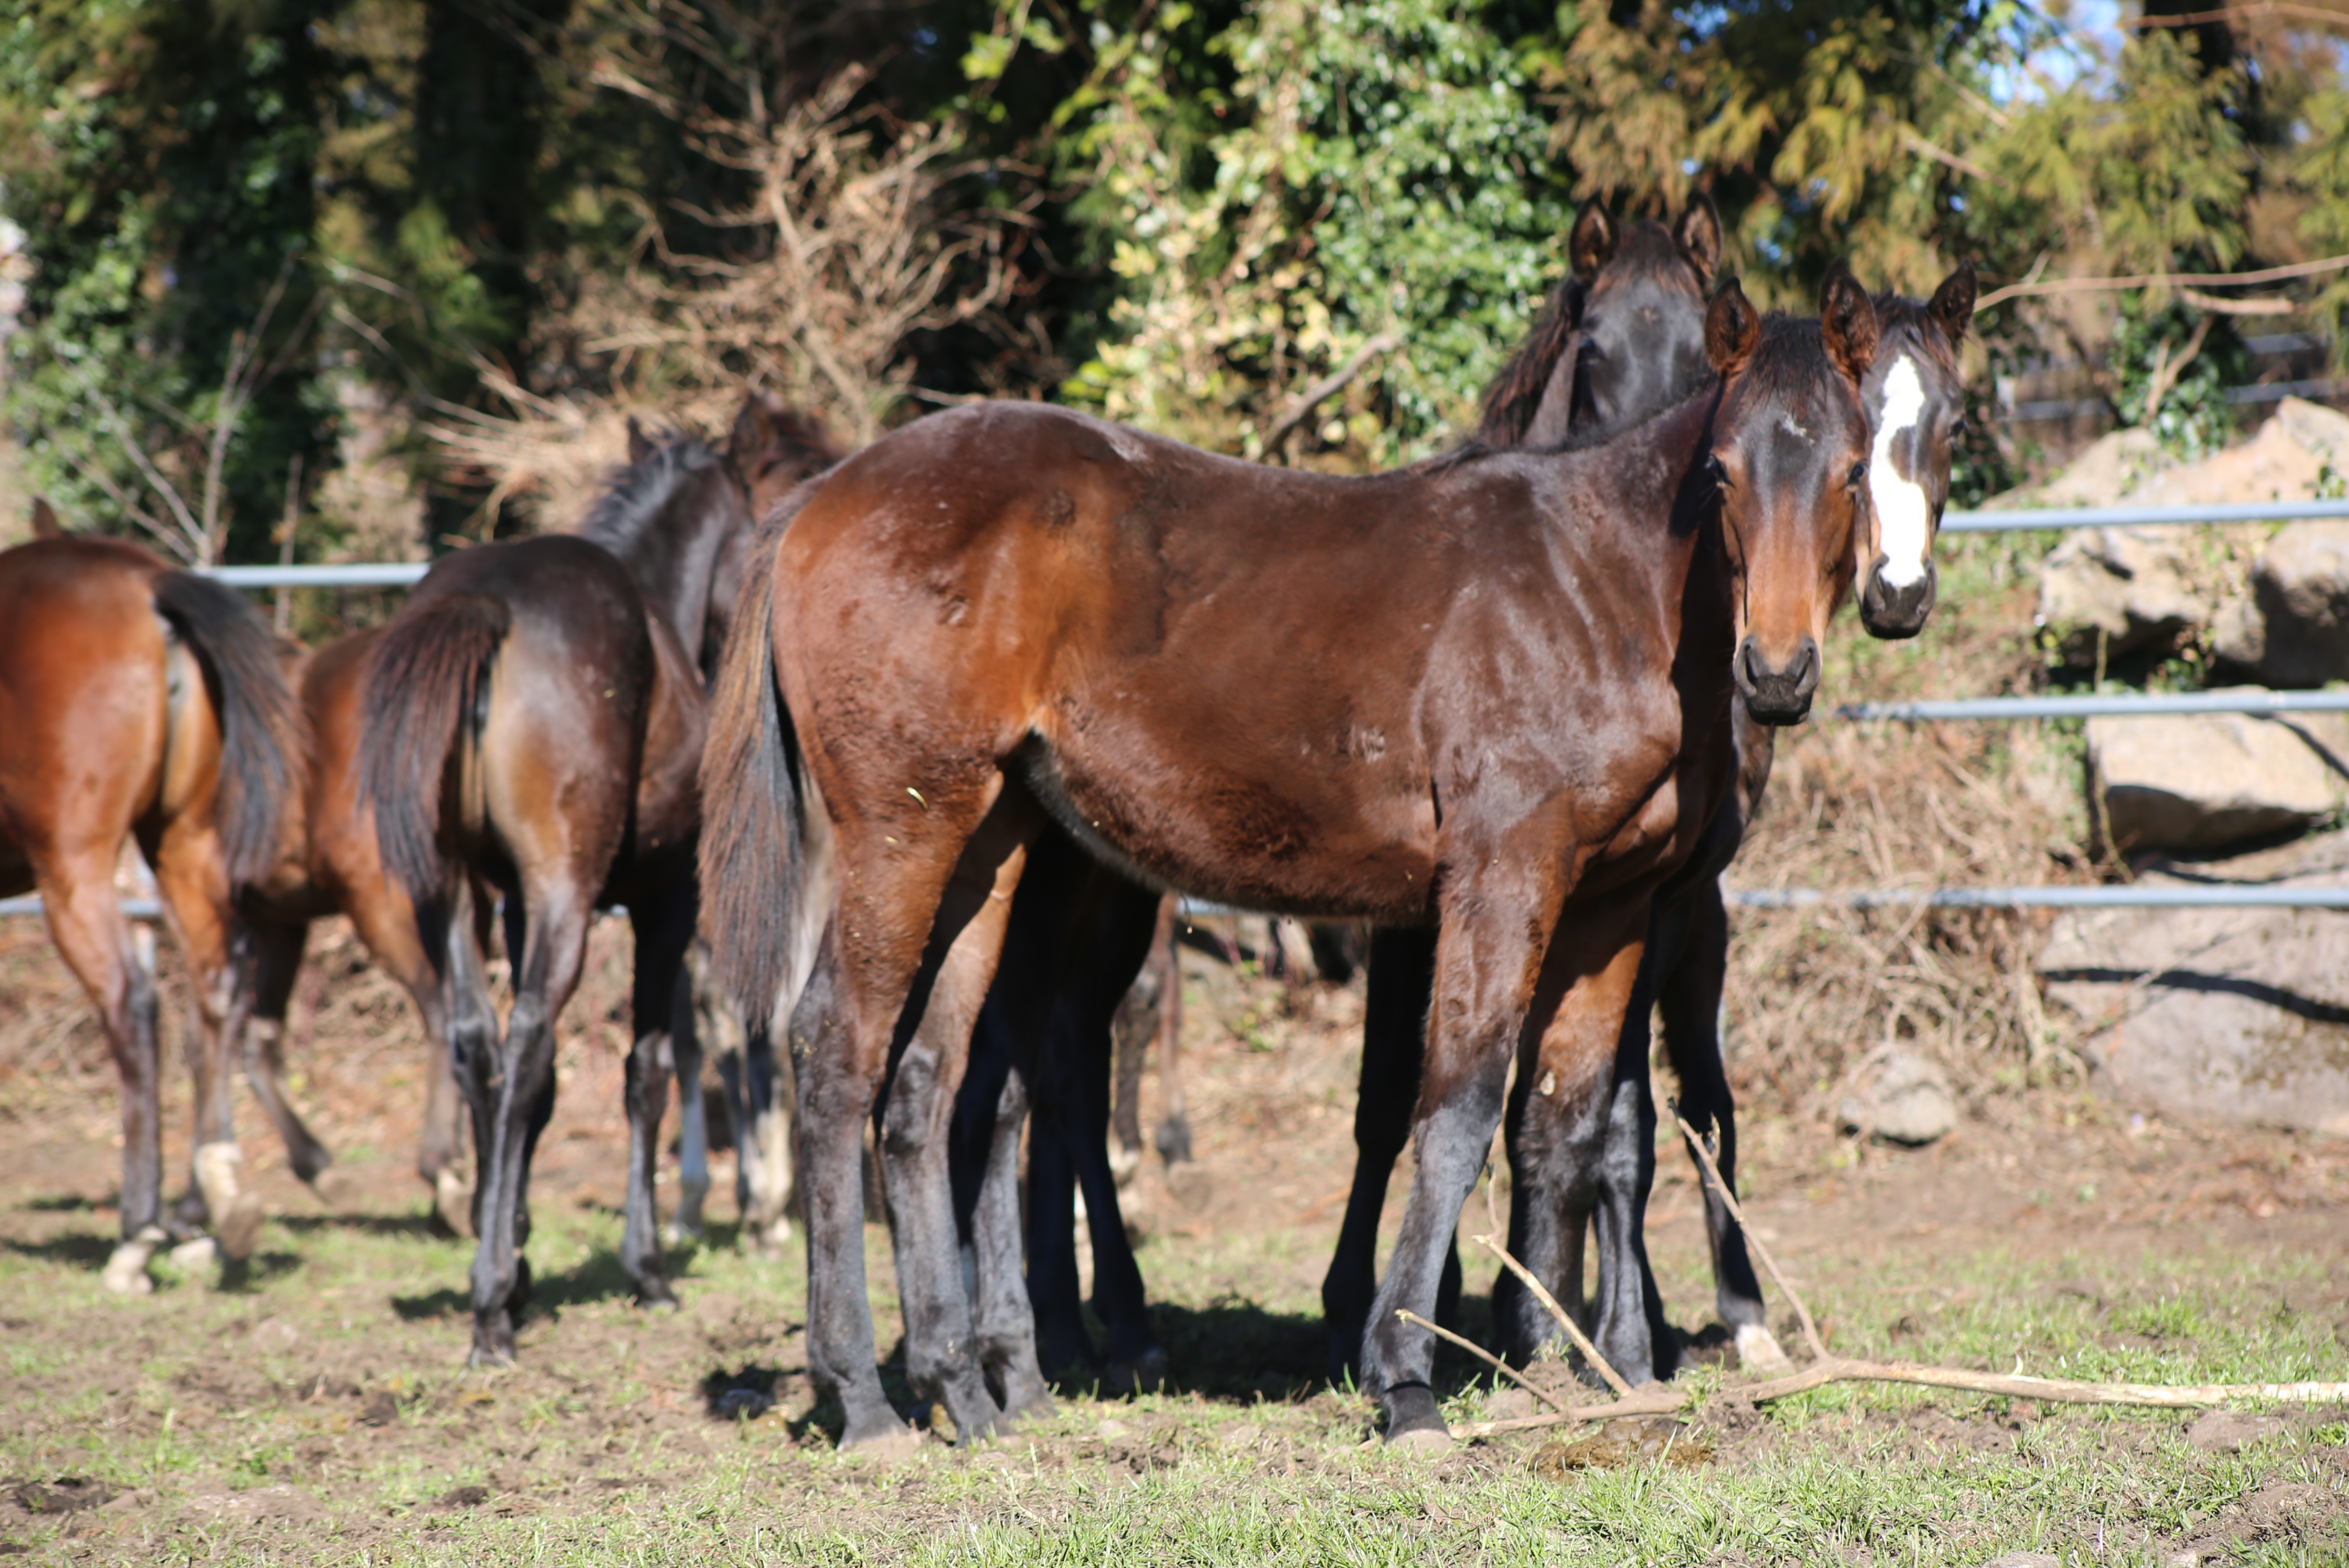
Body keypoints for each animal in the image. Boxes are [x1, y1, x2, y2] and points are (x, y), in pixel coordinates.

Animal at [0, 526, 303, 1288]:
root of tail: (147, 584)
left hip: (73, 865)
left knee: (131, 1005)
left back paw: (137, 1234)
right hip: (183, 843)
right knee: (215, 995)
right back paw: (213, 1205)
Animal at [241, 390, 836, 1241]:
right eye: (794, 486)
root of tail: (483, 602)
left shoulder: (517, 904)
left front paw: (514, 1217)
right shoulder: (663, 900)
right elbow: (650, 1062)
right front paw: (644, 1246)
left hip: (449, 894)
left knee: (474, 1038)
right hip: (565, 895)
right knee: (533, 1037)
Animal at [700, 267, 1888, 1448]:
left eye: (1851, 469)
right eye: (1722, 473)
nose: (1777, 671)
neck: (1592, 586)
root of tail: (817, 499)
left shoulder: (1613, 905)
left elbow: (1567, 1122)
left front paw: (1563, 1369)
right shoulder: (1502, 873)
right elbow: (1457, 1107)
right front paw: (1405, 1376)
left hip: (987, 847)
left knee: (931, 1082)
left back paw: (967, 1386)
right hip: (903, 828)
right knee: (837, 1050)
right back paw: (865, 1396)